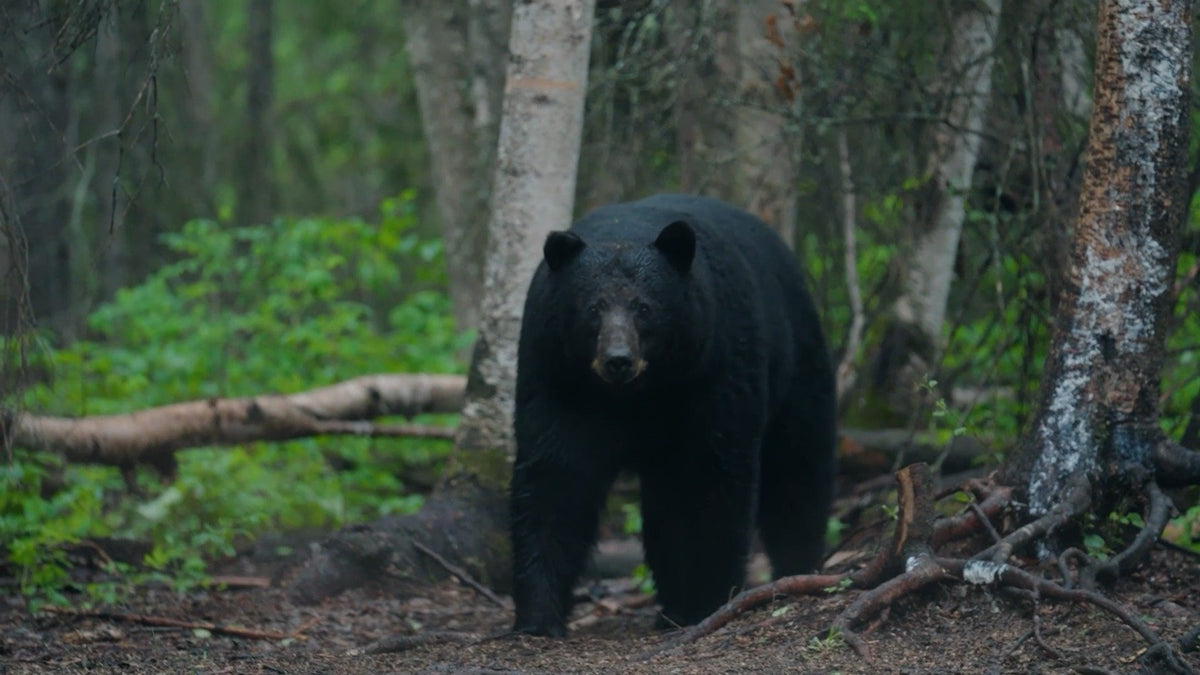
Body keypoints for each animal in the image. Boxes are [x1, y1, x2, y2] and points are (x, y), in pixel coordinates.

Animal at [510, 194, 836, 637]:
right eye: (593, 307)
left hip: (797, 362)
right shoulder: (557, 377)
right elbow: (555, 476)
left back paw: (795, 567)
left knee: (798, 468)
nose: (618, 360)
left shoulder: (713, 370)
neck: (634, 395)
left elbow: (708, 479)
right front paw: (538, 616)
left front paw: (706, 601)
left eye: (644, 307)